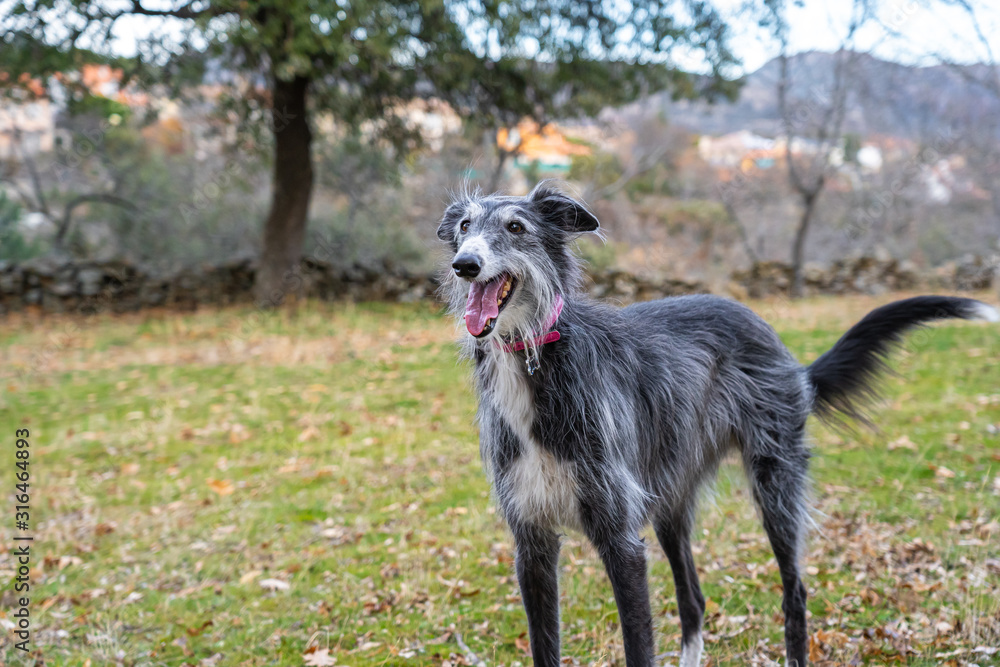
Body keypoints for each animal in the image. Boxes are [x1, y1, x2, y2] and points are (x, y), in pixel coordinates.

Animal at [438, 183, 1000, 667]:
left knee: (795, 593)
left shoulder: (621, 539)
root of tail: (789, 356)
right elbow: (545, 647)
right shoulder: (531, 541)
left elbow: (638, 645)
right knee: (694, 600)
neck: (537, 359)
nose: (465, 264)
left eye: (515, 226)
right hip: (670, 499)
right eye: (464, 226)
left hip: (775, 484)